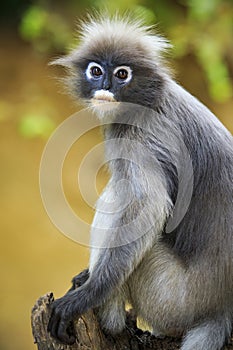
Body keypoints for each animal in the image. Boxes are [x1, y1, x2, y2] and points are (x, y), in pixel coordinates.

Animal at [47, 15, 233, 348]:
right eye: (96, 71)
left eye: (122, 74)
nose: (106, 87)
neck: (150, 98)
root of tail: (220, 310)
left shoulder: (141, 136)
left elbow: (149, 206)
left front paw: (85, 297)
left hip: (170, 297)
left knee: (119, 194)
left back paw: (111, 319)